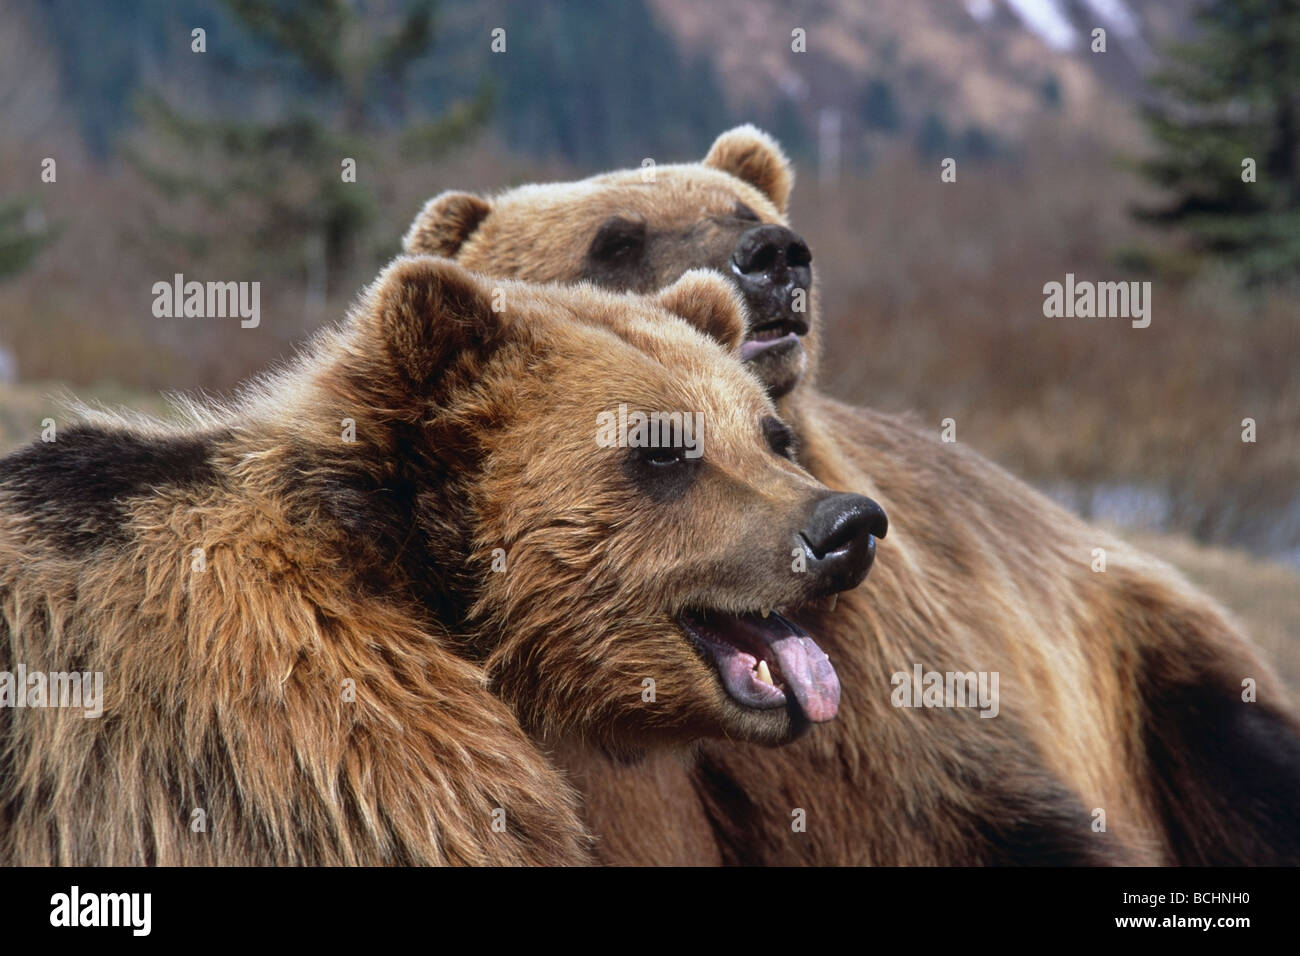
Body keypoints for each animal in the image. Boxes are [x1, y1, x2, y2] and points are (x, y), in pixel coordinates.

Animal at [405, 123, 1300, 863]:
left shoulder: (888, 678)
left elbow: (996, 808)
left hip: (1148, 664)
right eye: (616, 239)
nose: (774, 253)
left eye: (740, 205)